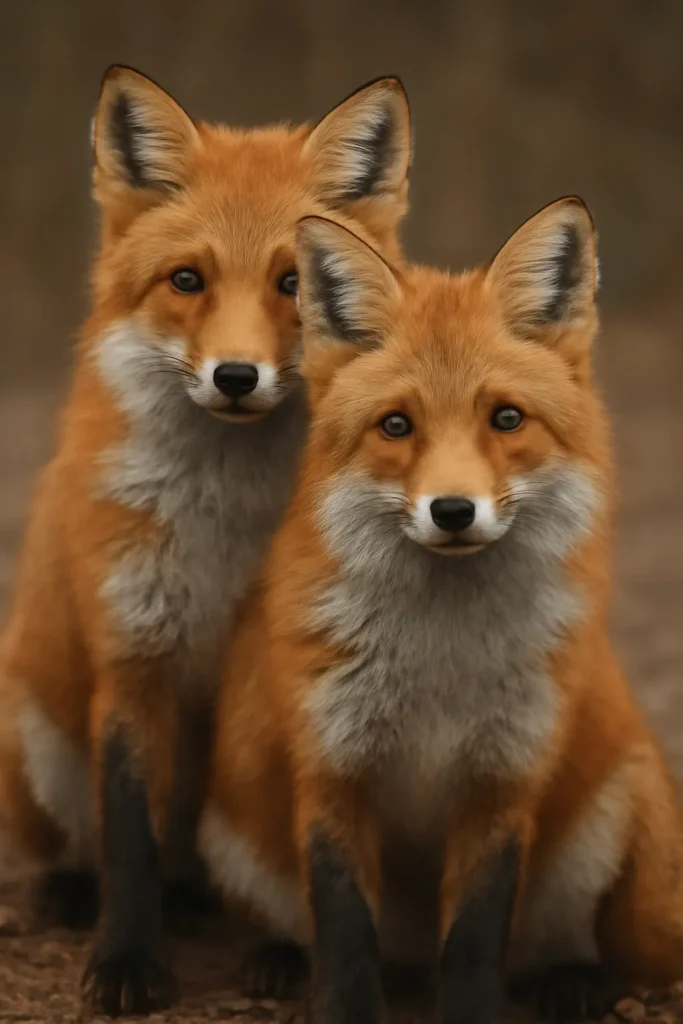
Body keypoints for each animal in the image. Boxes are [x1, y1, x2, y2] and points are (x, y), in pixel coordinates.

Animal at [0, 65, 411, 1015]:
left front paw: (291, 954)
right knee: (81, 846)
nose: (234, 375)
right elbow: (129, 839)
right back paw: (71, 894)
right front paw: (123, 962)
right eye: (186, 279)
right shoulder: (134, 653)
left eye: (295, 282)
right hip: (37, 735)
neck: (228, 533)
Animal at [200, 200, 683, 1024]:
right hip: (232, 829)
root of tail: (410, 959)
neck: (439, 665)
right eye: (396, 425)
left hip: (617, 812)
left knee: (565, 944)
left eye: (506, 419)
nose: (452, 511)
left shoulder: (502, 778)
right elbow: (344, 933)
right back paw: (275, 961)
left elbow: (475, 937)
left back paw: (571, 980)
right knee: (291, 924)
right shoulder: (332, 768)